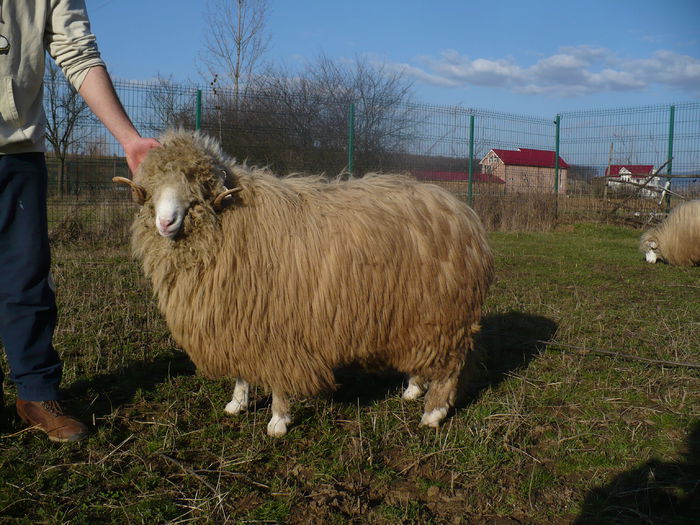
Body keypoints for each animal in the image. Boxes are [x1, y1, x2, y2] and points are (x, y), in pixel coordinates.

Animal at [115, 129, 494, 436]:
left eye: (198, 189)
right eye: (152, 188)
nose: (166, 222)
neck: (233, 225)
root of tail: (461, 212)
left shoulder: (277, 325)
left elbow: (279, 381)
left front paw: (278, 421)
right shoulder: (238, 317)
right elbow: (242, 372)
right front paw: (238, 402)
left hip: (446, 315)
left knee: (450, 367)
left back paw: (433, 412)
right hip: (417, 315)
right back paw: (413, 388)